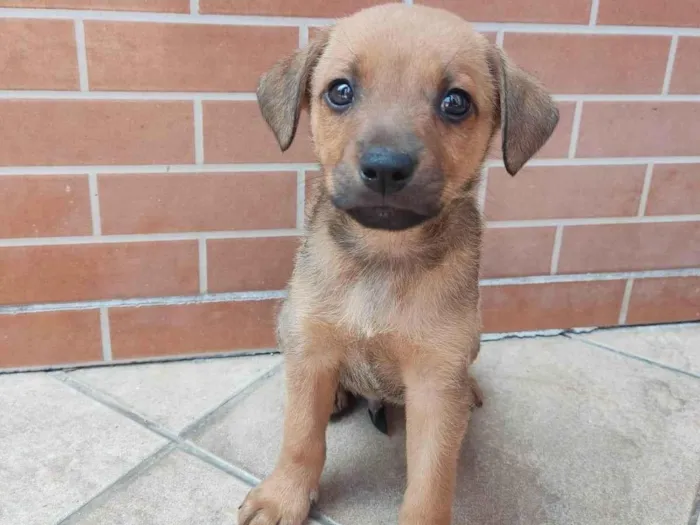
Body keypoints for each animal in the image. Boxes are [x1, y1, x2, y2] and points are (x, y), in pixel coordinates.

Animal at [239, 5, 556, 524]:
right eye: (340, 91)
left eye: (456, 102)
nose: (386, 168)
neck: (382, 257)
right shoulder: (311, 345)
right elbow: (301, 437)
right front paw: (283, 496)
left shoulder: (434, 383)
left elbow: (430, 481)